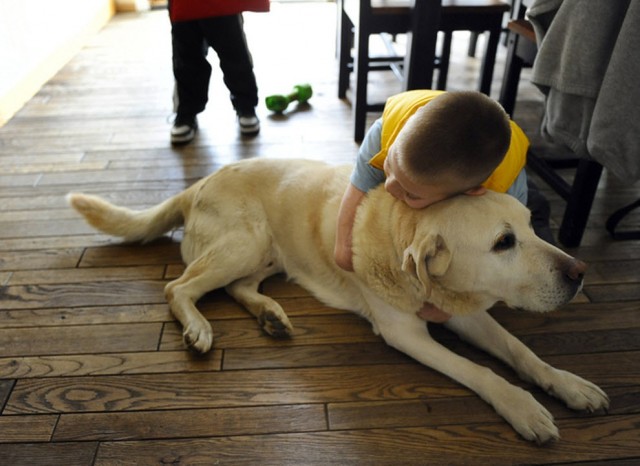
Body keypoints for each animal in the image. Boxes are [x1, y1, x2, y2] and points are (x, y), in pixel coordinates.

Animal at [70, 158, 608, 442]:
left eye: (532, 226)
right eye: (503, 243)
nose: (580, 273)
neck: (402, 229)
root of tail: (198, 183)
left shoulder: (467, 313)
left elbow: (521, 352)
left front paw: (569, 385)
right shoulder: (405, 332)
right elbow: (481, 371)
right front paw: (523, 408)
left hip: (265, 254)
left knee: (238, 288)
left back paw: (271, 316)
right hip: (245, 241)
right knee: (179, 287)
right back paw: (198, 326)